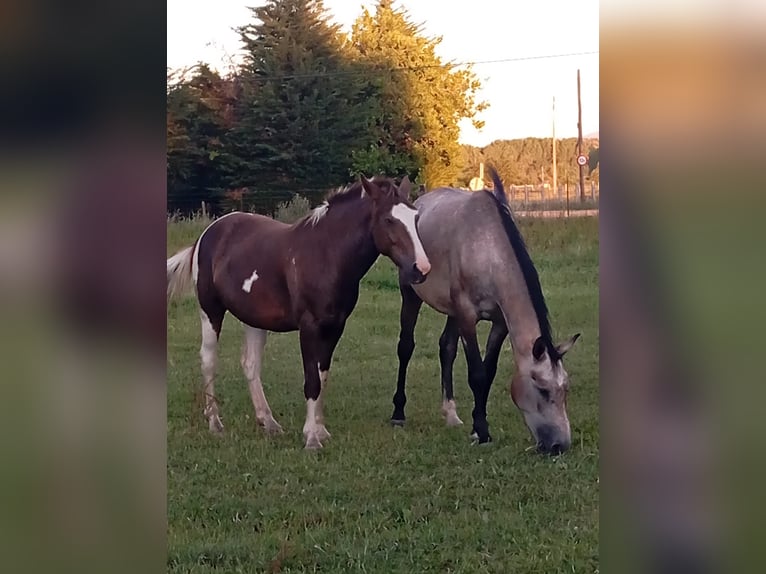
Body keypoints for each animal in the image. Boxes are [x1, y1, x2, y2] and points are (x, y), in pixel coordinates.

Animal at [168, 176, 432, 450]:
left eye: (415, 217)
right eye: (389, 220)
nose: (421, 269)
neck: (326, 254)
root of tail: (208, 234)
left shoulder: (335, 327)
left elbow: (322, 376)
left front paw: (320, 430)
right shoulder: (309, 327)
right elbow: (311, 380)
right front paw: (312, 439)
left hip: (254, 319)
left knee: (251, 364)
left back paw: (269, 422)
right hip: (210, 311)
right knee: (209, 360)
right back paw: (215, 423)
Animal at [392, 169, 580, 456]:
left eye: (565, 389)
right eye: (542, 389)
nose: (559, 446)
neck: (487, 250)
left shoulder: (499, 322)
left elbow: (488, 372)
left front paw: (475, 425)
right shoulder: (468, 316)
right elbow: (477, 374)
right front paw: (482, 432)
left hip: (452, 311)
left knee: (446, 348)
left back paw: (451, 414)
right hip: (411, 294)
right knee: (405, 347)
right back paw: (398, 413)